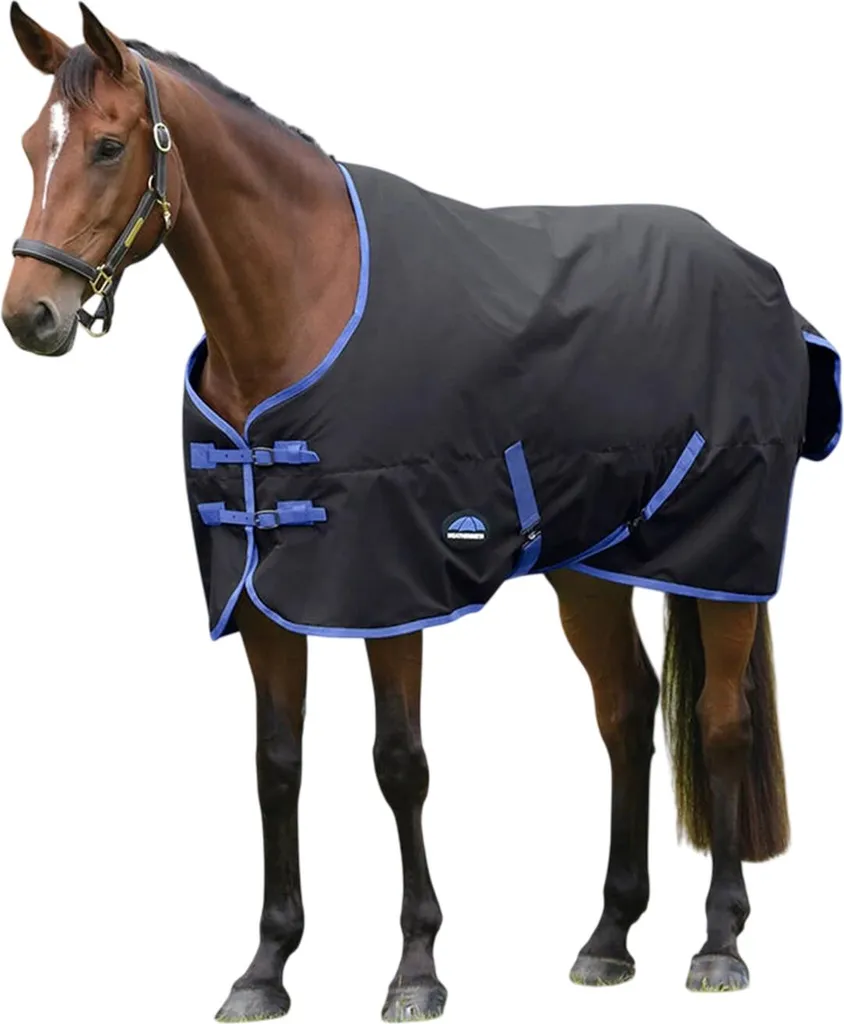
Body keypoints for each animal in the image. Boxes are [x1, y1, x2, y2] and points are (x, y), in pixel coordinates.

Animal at [3, 4, 840, 1022]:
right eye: (29, 147)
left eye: (109, 145)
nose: (30, 316)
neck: (299, 310)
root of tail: (760, 276)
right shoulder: (263, 599)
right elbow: (276, 765)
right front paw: (265, 968)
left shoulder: (387, 590)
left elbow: (399, 763)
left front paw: (417, 966)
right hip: (590, 568)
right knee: (627, 712)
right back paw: (608, 938)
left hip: (721, 561)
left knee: (721, 722)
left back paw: (719, 943)